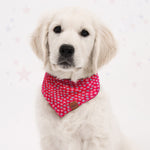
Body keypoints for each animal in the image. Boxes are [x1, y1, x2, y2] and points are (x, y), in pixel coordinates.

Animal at [30, 7, 131, 150]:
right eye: (57, 29)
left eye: (84, 32)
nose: (66, 49)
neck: (68, 89)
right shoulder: (49, 138)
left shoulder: (95, 138)